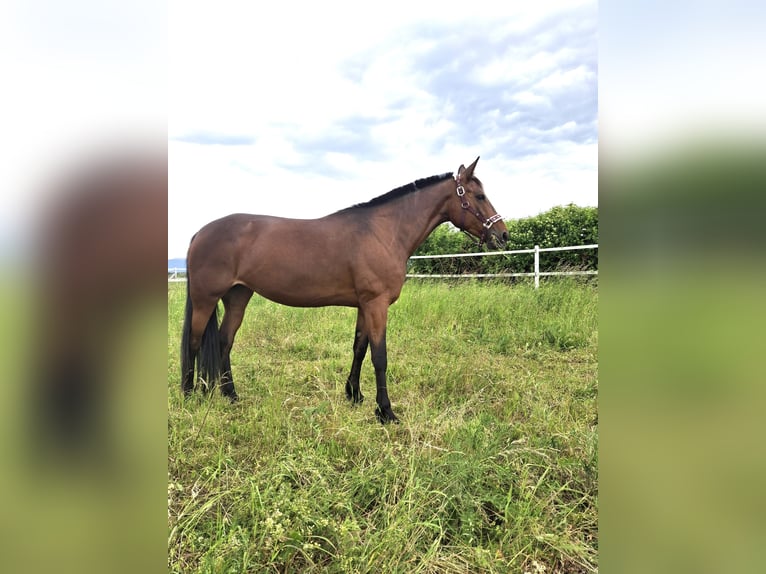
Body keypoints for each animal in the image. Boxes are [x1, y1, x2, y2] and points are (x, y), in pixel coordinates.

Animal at [180, 156, 508, 423]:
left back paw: (231, 395)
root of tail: (200, 233)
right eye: (479, 195)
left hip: (238, 296)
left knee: (224, 341)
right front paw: (385, 411)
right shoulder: (376, 304)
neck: (383, 232)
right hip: (205, 299)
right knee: (194, 342)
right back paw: (188, 396)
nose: (502, 234)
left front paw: (354, 395)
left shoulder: (364, 305)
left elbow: (360, 349)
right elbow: (379, 356)